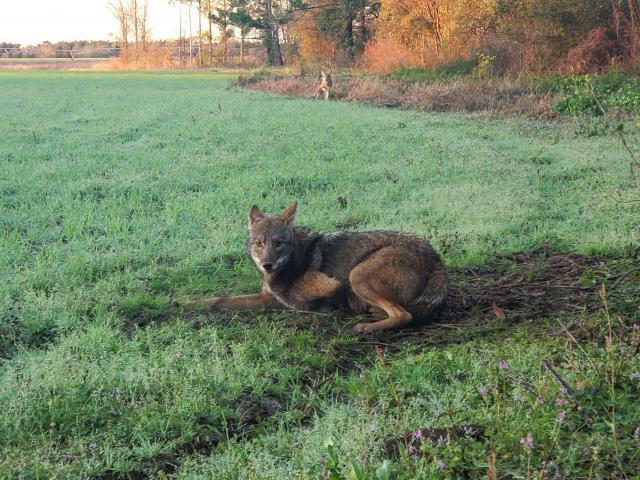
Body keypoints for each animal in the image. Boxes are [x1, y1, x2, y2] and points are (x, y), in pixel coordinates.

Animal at [181, 202, 448, 333]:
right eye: (259, 243)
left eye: (279, 243)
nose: (267, 265)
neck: (293, 263)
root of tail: (435, 257)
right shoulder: (265, 298)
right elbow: (218, 300)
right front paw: (181, 304)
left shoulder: (333, 284)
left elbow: (320, 302)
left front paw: (325, 309)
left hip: (357, 275)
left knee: (403, 315)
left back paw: (365, 327)